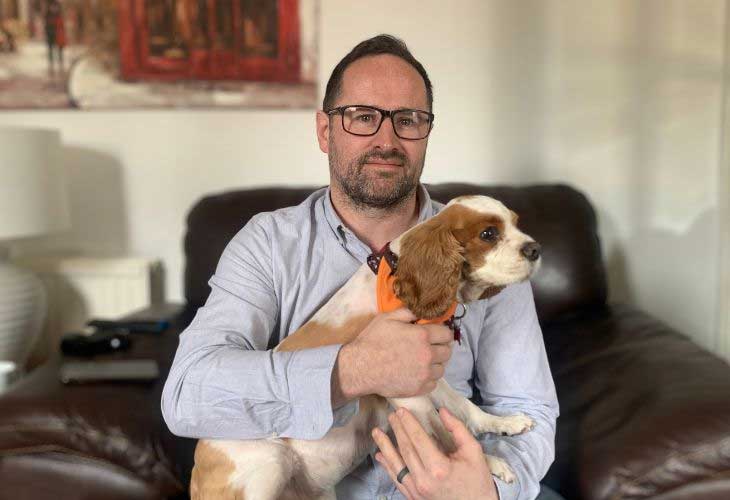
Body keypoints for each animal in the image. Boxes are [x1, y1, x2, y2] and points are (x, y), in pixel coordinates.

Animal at [191, 195, 544, 500]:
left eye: (516, 223)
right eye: (488, 234)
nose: (536, 249)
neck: (396, 277)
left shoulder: (427, 374)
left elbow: (463, 406)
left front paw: (503, 423)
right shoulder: (407, 391)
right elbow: (442, 433)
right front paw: (487, 464)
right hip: (270, 461)